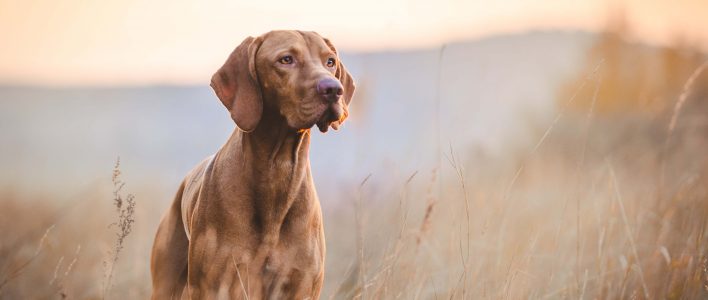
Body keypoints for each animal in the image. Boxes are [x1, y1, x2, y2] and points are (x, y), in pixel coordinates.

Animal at [151, 31, 356, 300]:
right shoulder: (215, 285)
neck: (276, 170)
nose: (333, 89)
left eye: (330, 61)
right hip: (166, 284)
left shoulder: (302, 285)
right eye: (286, 59)